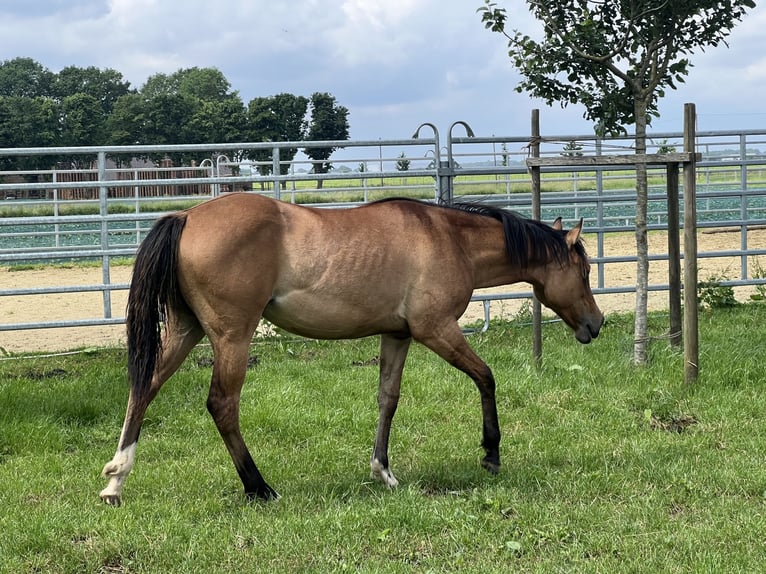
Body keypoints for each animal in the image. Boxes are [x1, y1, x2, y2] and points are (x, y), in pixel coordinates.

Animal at [99, 193, 603, 506]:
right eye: (583, 271)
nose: (595, 325)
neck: (448, 237)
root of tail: (186, 217)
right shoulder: (436, 330)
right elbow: (486, 377)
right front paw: (491, 453)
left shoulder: (397, 335)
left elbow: (387, 399)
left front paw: (384, 471)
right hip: (231, 337)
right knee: (222, 405)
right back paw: (259, 488)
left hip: (186, 331)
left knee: (143, 388)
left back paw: (117, 480)